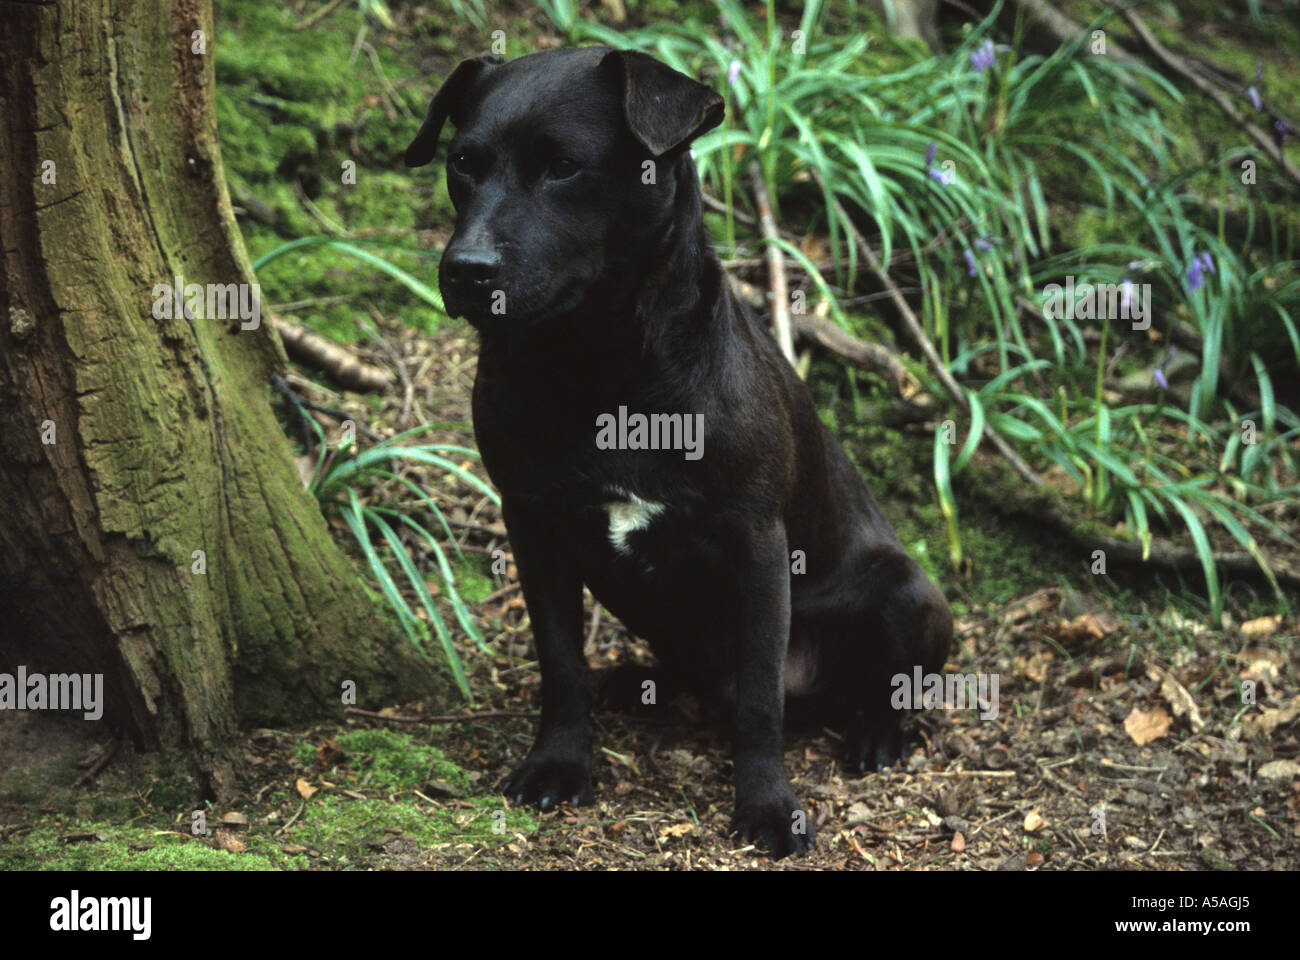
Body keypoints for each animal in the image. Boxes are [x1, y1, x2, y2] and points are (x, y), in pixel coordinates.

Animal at [405, 44, 956, 858]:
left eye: (563, 167)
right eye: (463, 163)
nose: (465, 269)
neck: (598, 368)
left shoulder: (757, 544)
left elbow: (759, 704)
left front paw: (766, 806)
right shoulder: (534, 526)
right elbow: (558, 662)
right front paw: (559, 762)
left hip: (907, 591)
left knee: (880, 688)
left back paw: (876, 734)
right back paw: (633, 684)